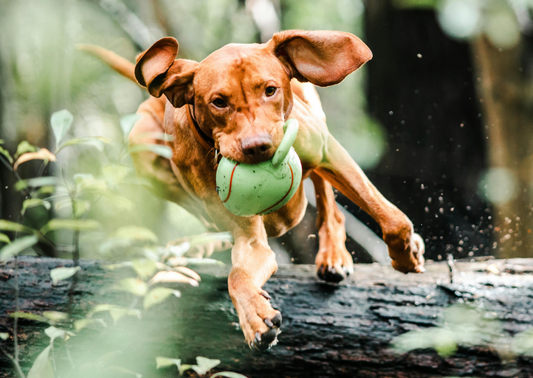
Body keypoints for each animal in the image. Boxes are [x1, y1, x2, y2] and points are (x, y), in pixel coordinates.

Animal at [83, 29, 424, 352]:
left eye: (270, 90)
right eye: (219, 101)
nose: (257, 146)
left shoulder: (328, 152)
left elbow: (393, 220)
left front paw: (406, 255)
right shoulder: (249, 238)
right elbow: (238, 274)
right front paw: (254, 317)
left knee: (327, 199)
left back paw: (333, 254)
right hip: (143, 145)